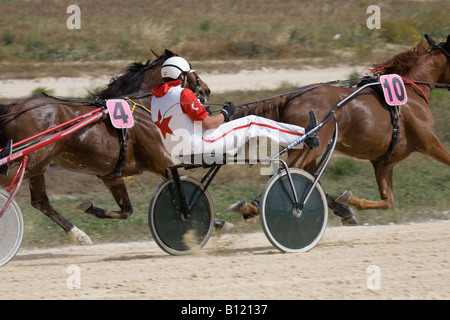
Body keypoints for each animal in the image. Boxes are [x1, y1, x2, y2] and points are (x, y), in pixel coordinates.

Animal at [0, 49, 211, 245]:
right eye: (190, 68)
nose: (206, 91)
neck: (141, 107)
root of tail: (13, 109)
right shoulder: (161, 162)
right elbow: (182, 193)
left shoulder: (111, 176)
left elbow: (126, 210)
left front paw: (90, 208)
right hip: (29, 162)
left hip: (36, 166)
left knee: (41, 202)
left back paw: (79, 235)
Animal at [232, 34, 450, 225]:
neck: (410, 92)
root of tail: (291, 98)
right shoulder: (429, 143)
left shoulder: (384, 163)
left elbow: (388, 201)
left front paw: (347, 202)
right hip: (310, 148)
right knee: (283, 174)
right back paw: (257, 206)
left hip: (308, 149)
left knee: (305, 177)